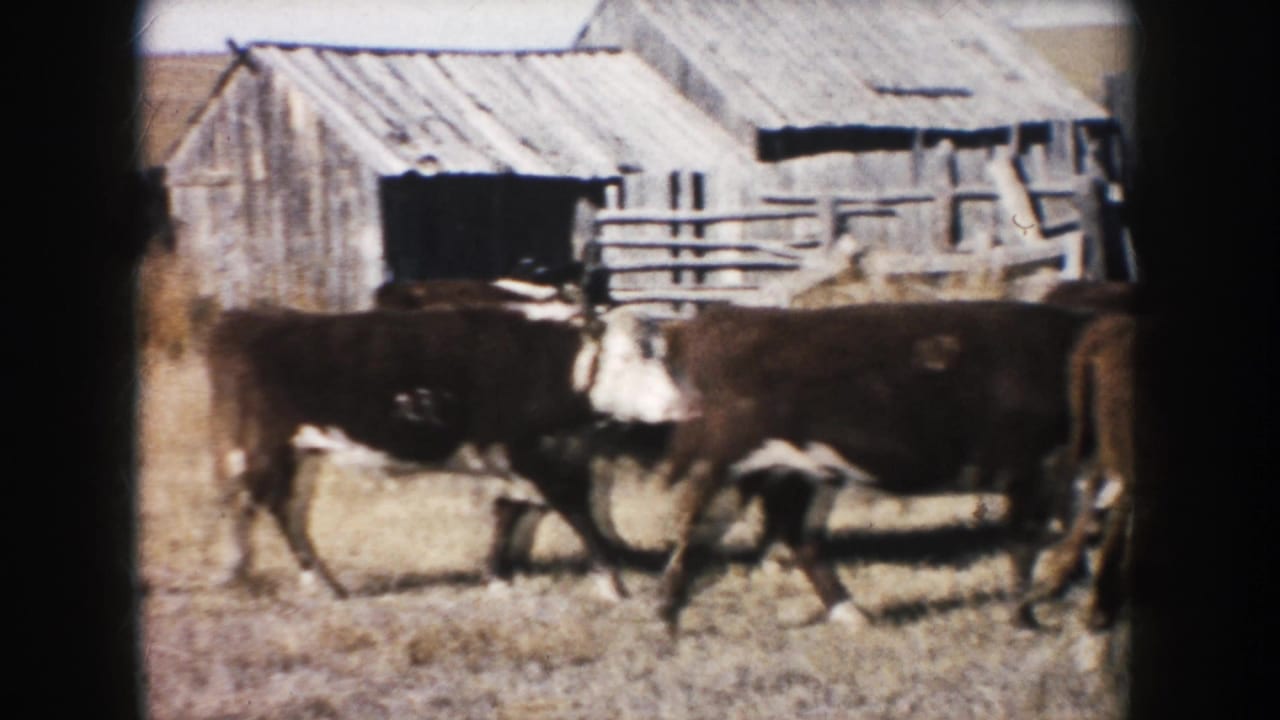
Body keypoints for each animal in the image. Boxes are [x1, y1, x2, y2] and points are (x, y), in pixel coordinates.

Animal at [206, 302, 690, 600]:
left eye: (665, 357)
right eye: (626, 359)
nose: (682, 406)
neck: (553, 365)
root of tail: (248, 318)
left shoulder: (525, 461)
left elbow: (511, 512)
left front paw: (498, 577)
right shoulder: (535, 458)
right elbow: (577, 514)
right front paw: (614, 584)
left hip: (301, 454)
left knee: (283, 512)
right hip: (268, 450)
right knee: (264, 506)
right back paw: (296, 580)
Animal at [648, 301, 1134, 634]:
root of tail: (713, 321)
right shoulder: (1033, 471)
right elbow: (1024, 544)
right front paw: (1026, 618)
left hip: (805, 473)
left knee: (798, 536)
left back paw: (855, 615)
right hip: (732, 462)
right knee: (699, 523)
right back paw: (667, 617)